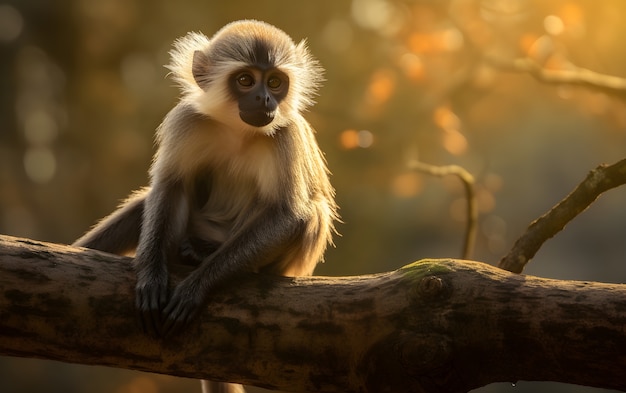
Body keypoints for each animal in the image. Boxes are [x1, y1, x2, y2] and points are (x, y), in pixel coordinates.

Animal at [73, 19, 338, 390]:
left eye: (274, 82)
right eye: (245, 80)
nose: (265, 98)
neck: (238, 131)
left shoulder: (286, 134)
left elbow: (289, 214)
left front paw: (195, 287)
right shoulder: (187, 120)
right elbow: (170, 186)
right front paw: (151, 278)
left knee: (312, 212)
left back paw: (204, 256)